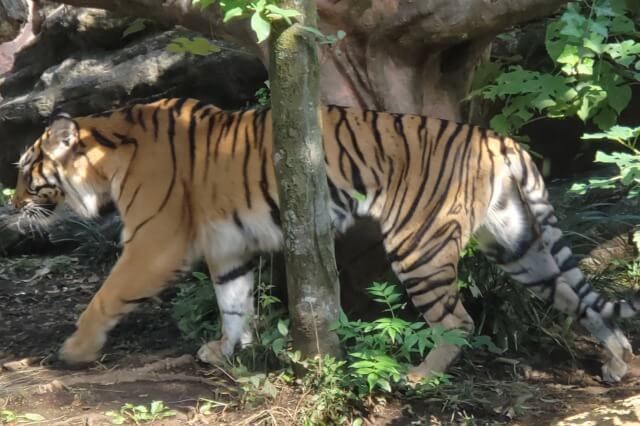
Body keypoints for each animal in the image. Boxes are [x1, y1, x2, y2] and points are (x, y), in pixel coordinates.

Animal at [11, 97, 640, 382]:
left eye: (24, 169)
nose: (12, 204)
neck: (106, 160)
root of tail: (498, 138)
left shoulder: (154, 244)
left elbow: (104, 298)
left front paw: (75, 350)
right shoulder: (229, 246)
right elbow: (233, 303)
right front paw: (226, 352)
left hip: (421, 244)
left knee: (458, 319)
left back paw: (419, 377)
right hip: (516, 244)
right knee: (580, 297)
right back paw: (618, 362)